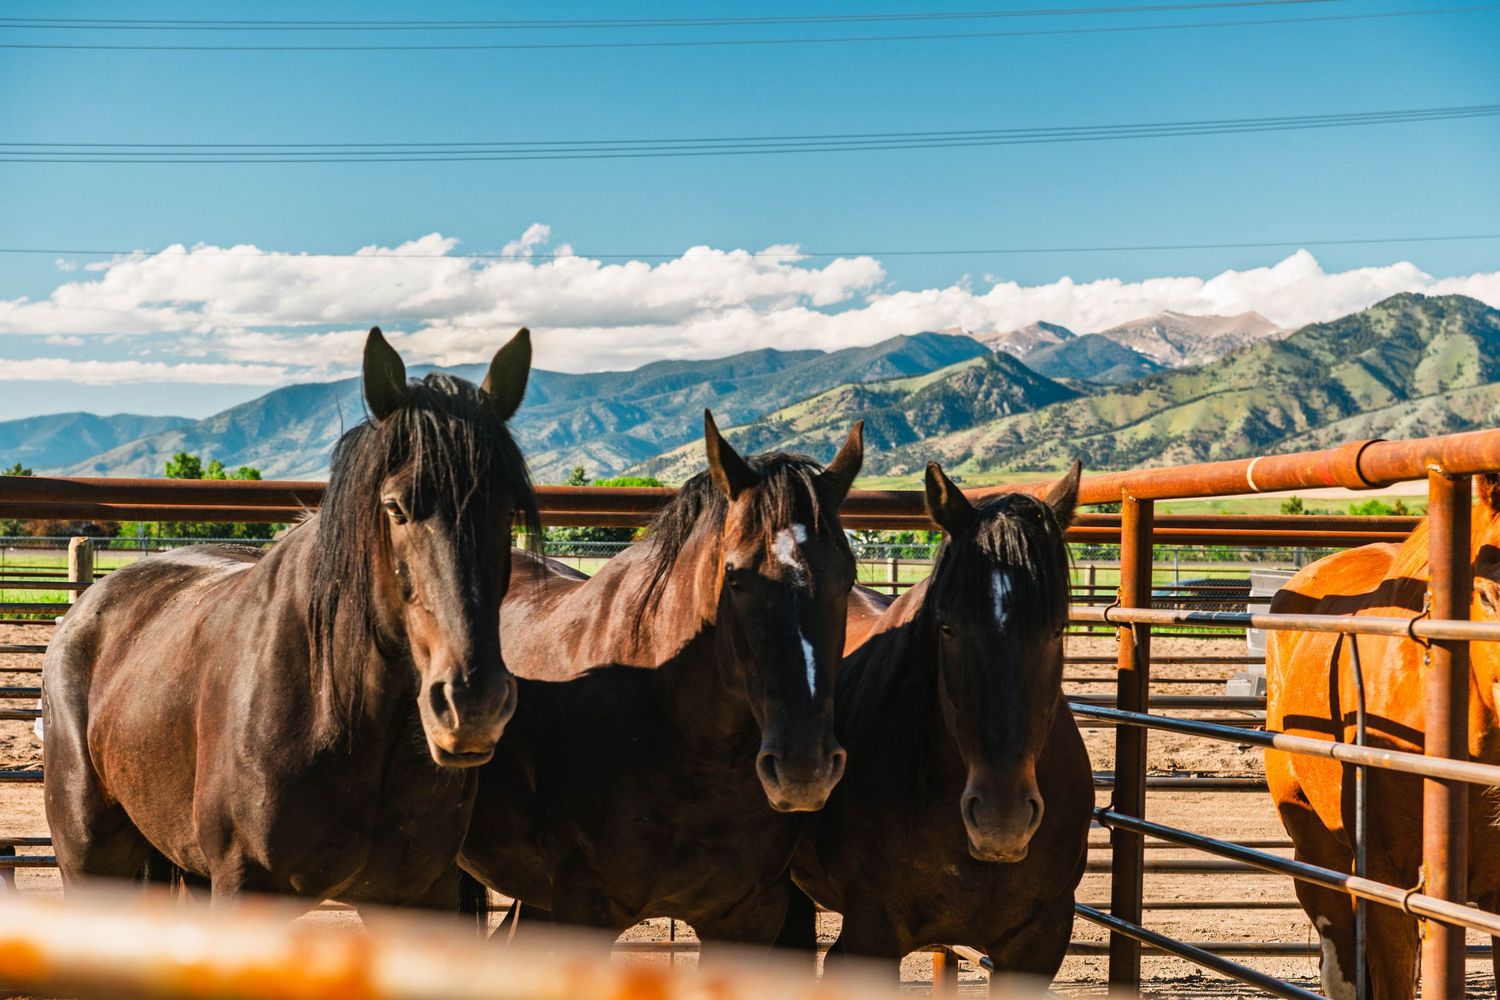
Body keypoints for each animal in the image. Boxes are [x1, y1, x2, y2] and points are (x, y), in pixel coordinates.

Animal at [43, 327, 539, 913]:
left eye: (508, 508)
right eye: (395, 507)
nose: (472, 704)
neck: (335, 704)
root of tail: (87, 606)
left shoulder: (421, 895)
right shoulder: (245, 886)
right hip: (92, 861)